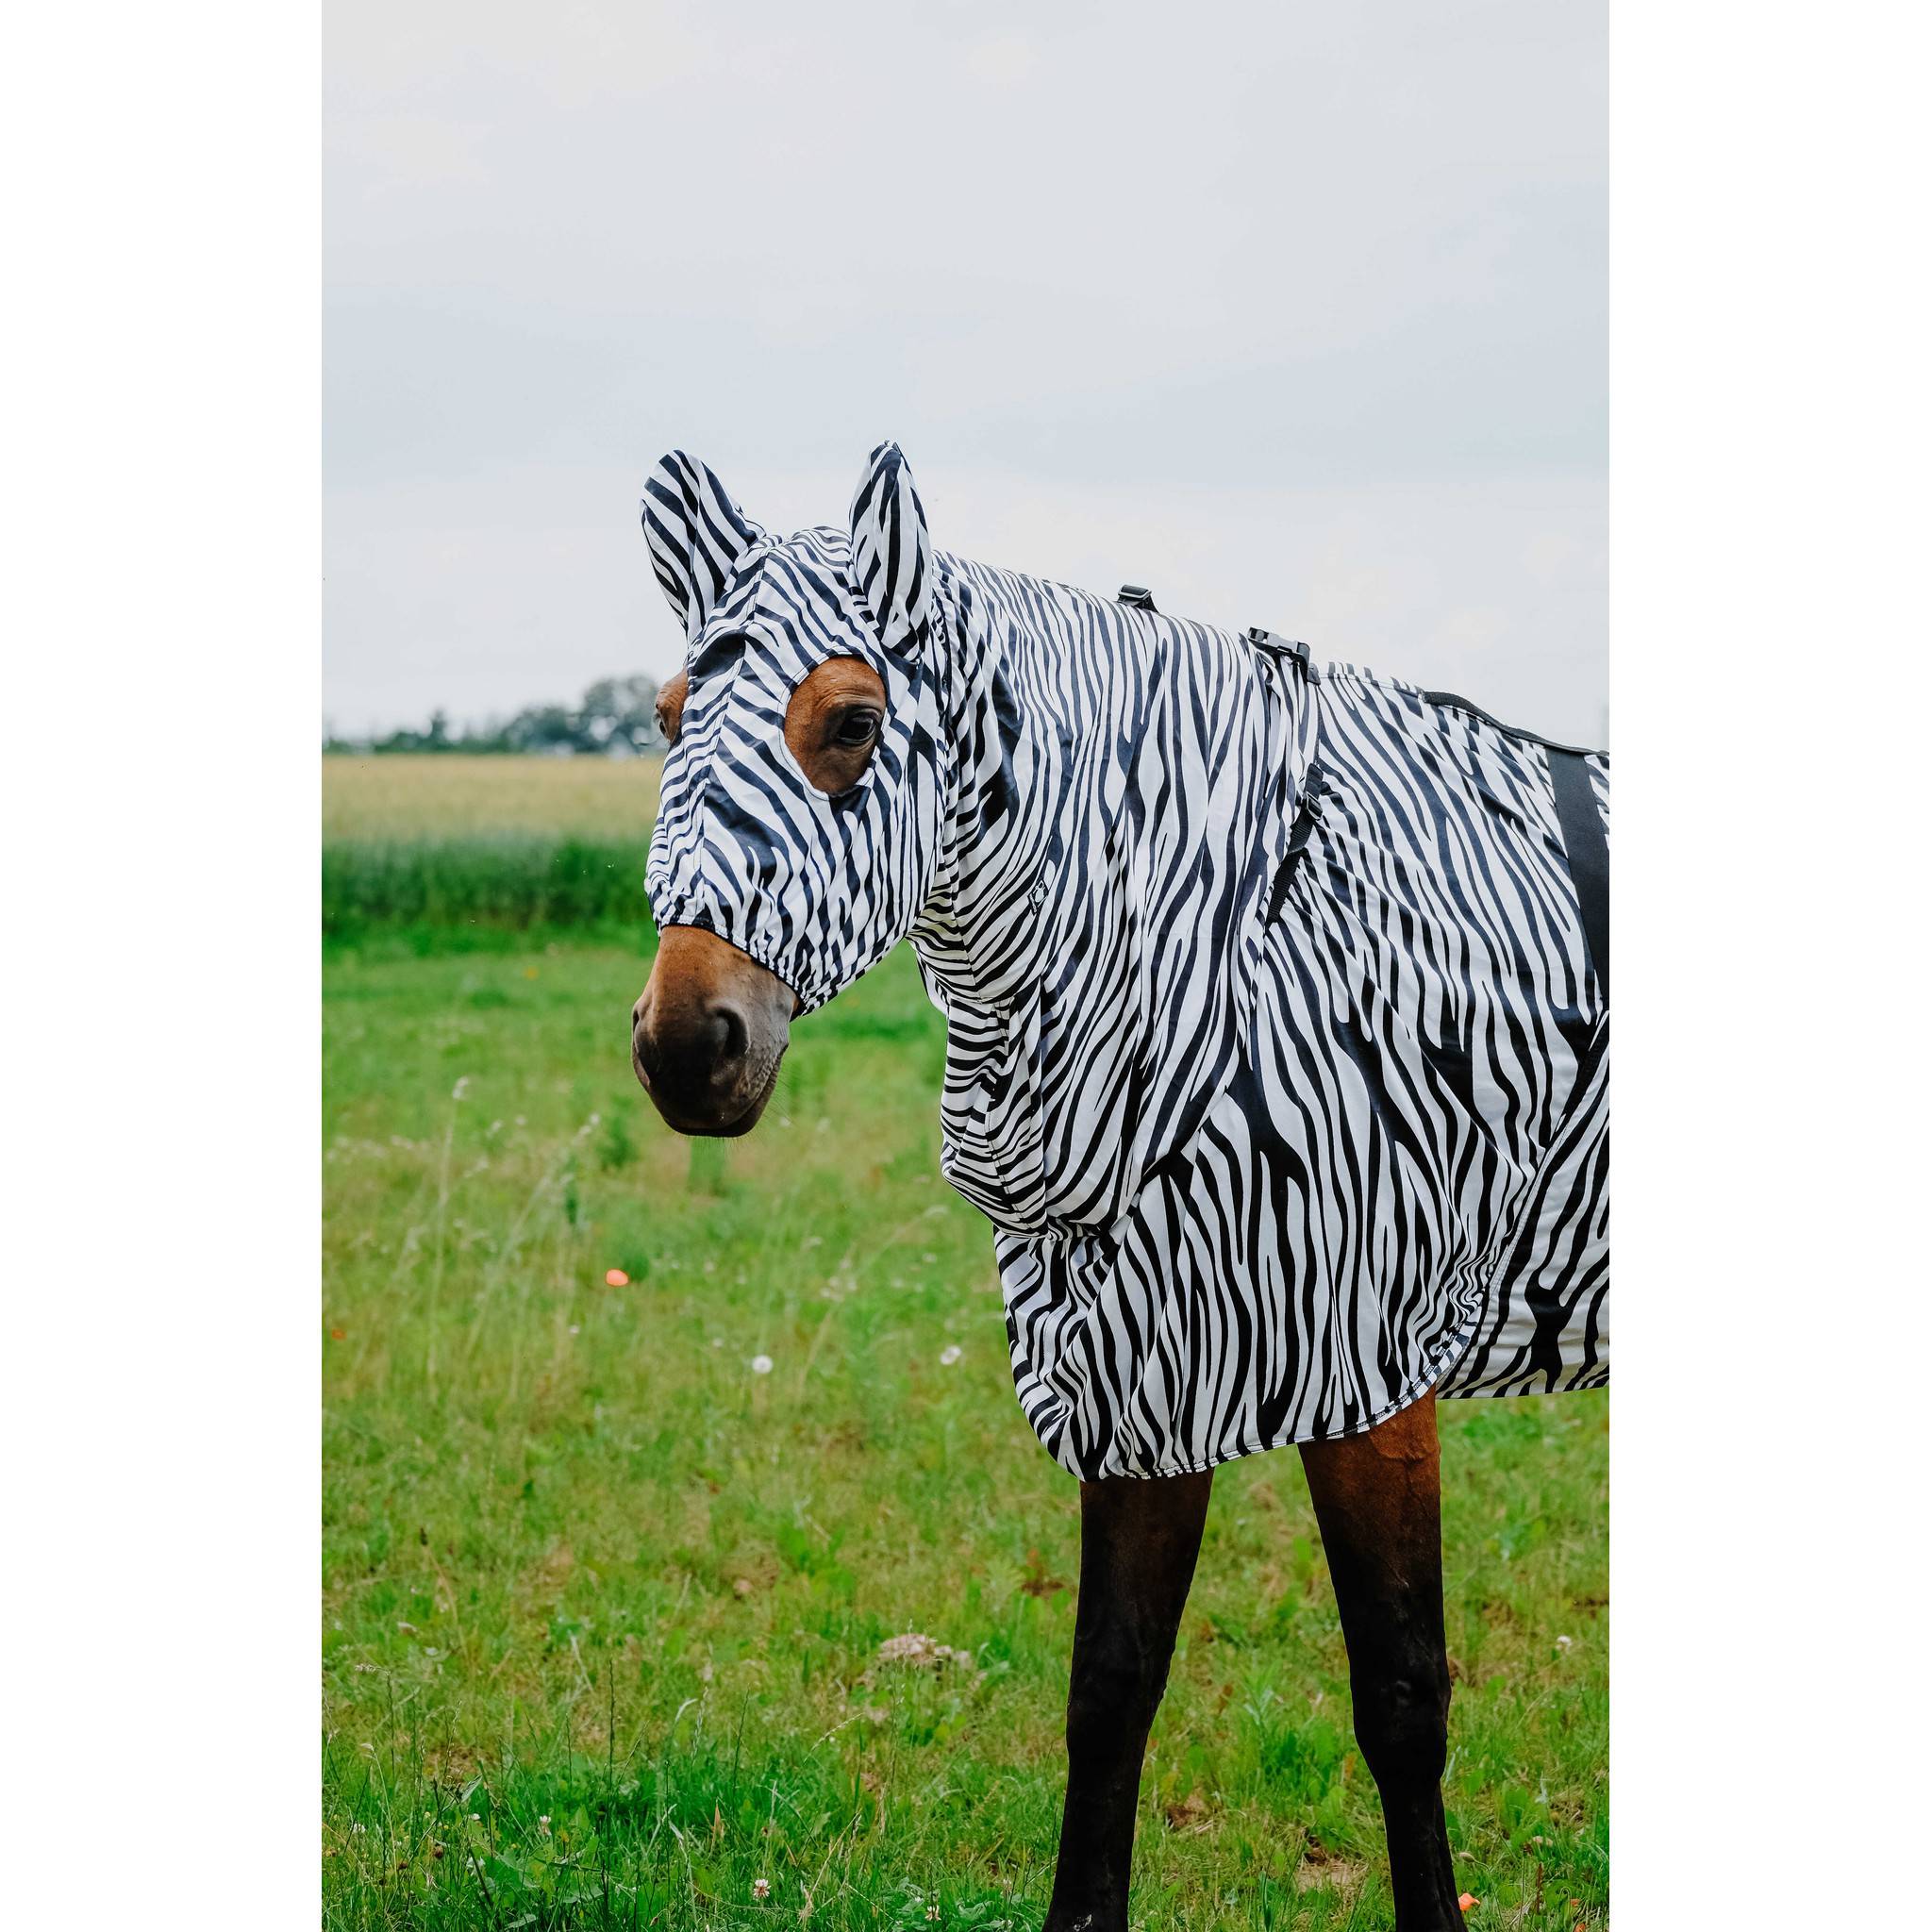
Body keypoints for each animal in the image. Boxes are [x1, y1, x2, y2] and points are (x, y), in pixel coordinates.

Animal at [630, 442, 1608, 1932]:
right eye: (670, 712)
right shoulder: (1136, 1359)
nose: (686, 1048)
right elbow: (1110, 1689)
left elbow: (1401, 1697)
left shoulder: (1365, 1355)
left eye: (851, 722)